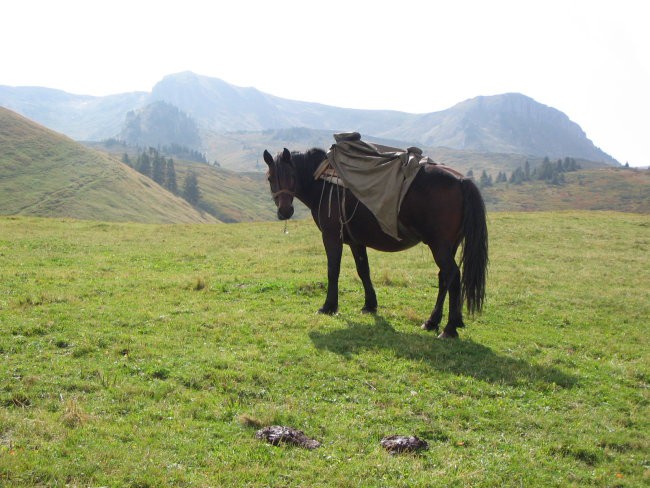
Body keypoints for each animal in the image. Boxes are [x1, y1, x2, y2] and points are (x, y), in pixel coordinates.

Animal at [260, 147, 484, 338]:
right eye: (270, 178)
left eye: (291, 176)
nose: (284, 212)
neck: (323, 181)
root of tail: (461, 180)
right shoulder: (356, 241)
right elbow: (363, 270)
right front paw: (370, 305)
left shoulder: (332, 236)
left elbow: (333, 270)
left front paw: (329, 306)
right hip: (449, 245)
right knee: (444, 277)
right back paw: (433, 321)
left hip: (439, 246)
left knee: (453, 276)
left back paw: (449, 328)